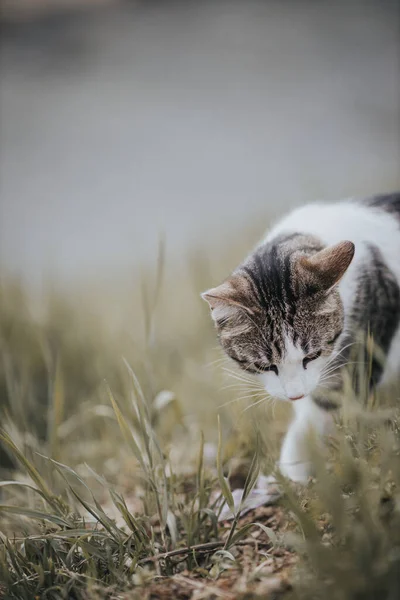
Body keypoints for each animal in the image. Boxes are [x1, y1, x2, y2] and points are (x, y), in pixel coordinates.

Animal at [203, 193, 400, 492]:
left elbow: (320, 411)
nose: (295, 395)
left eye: (313, 355)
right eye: (265, 366)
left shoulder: (365, 349)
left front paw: (296, 473)